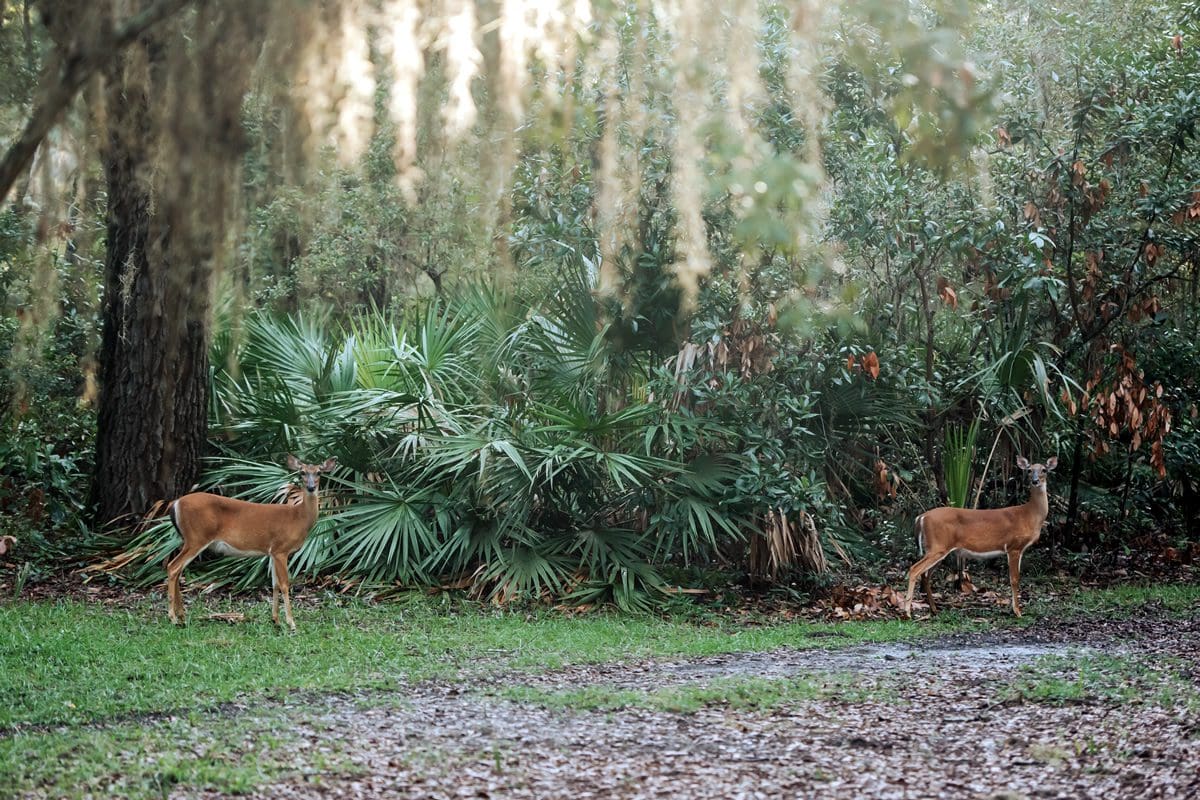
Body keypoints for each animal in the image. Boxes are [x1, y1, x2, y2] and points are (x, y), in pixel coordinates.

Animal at [165, 455, 336, 631]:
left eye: (319, 472)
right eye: (302, 472)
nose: (310, 487)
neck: (298, 518)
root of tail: (175, 504)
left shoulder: (272, 552)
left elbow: (274, 584)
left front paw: (276, 620)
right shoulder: (281, 549)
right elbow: (284, 584)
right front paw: (291, 623)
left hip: (188, 539)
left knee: (177, 569)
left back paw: (181, 616)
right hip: (197, 537)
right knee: (173, 567)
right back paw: (172, 617)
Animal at [904, 455, 1057, 619]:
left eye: (1044, 470)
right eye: (1029, 470)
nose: (1035, 481)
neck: (1029, 515)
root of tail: (921, 517)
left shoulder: (1019, 549)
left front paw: (1014, 609)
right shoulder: (1013, 546)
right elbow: (1014, 579)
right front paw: (1017, 612)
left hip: (938, 549)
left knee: (925, 575)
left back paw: (934, 609)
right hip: (937, 546)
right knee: (914, 569)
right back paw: (907, 612)